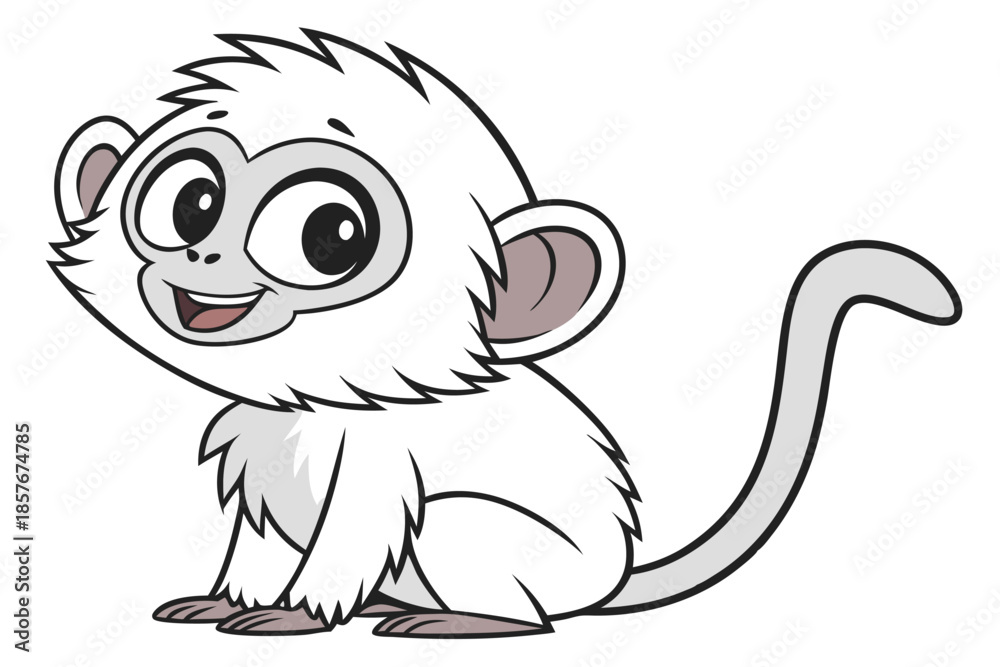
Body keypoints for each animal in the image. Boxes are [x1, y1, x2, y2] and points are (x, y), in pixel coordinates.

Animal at [51, 30, 962, 638]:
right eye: (192, 201)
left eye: (331, 234)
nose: (202, 251)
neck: (315, 404)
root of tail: (611, 577)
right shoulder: (259, 442)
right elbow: (260, 532)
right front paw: (231, 596)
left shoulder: (377, 458)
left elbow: (354, 532)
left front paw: (298, 614)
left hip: (504, 554)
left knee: (481, 559)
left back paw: (470, 621)